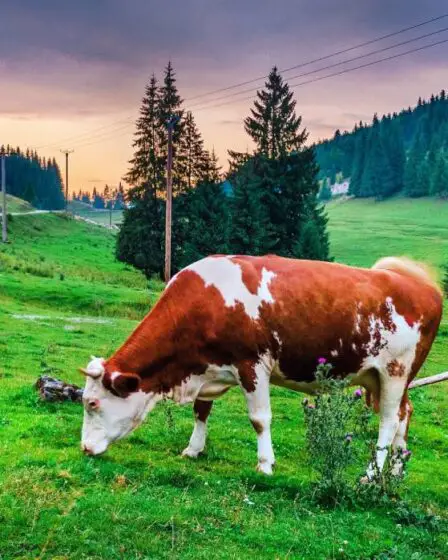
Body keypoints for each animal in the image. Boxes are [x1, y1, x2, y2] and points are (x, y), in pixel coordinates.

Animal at [79, 254, 440, 476]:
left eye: (93, 403)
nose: (84, 448)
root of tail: (421, 285)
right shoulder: (207, 367)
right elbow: (201, 410)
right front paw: (193, 449)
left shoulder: (252, 365)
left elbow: (259, 419)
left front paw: (265, 464)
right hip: (379, 378)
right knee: (404, 415)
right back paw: (396, 470)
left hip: (395, 372)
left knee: (388, 422)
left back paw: (372, 474)